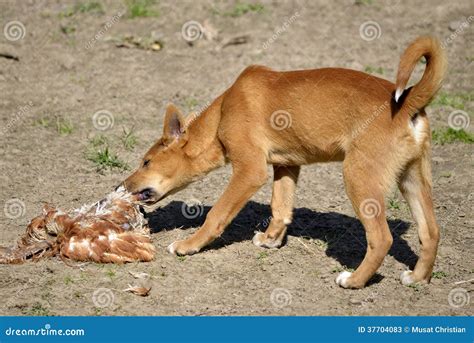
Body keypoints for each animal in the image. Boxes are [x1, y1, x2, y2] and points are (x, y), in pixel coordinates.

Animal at [124, 37, 446, 290]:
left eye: (146, 162)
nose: (122, 185)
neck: (223, 113)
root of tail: (407, 103)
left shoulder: (250, 171)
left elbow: (216, 214)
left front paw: (188, 245)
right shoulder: (286, 166)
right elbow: (280, 208)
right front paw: (270, 239)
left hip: (358, 177)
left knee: (381, 238)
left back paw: (354, 280)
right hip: (412, 180)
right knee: (430, 232)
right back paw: (417, 278)